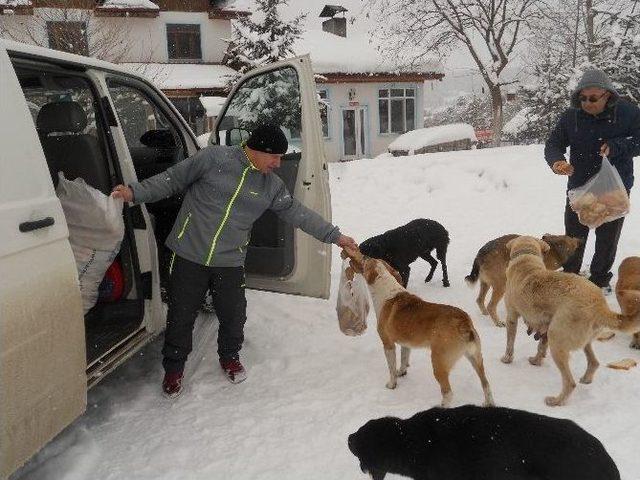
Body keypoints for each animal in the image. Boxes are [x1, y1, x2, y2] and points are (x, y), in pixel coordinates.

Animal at [340, 246, 496, 406]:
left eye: (366, 260)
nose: (363, 255)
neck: (387, 291)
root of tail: (463, 322)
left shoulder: (388, 344)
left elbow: (391, 368)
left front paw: (392, 384)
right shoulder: (405, 343)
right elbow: (403, 360)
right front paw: (402, 372)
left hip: (438, 363)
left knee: (448, 393)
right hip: (476, 359)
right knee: (486, 384)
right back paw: (488, 403)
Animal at [502, 236, 636, 404]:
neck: (526, 258)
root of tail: (599, 305)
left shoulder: (512, 317)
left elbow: (509, 343)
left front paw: (507, 359)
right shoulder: (545, 326)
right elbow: (541, 347)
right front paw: (536, 361)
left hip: (557, 340)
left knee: (570, 383)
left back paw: (556, 401)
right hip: (580, 339)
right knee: (594, 362)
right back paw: (586, 379)